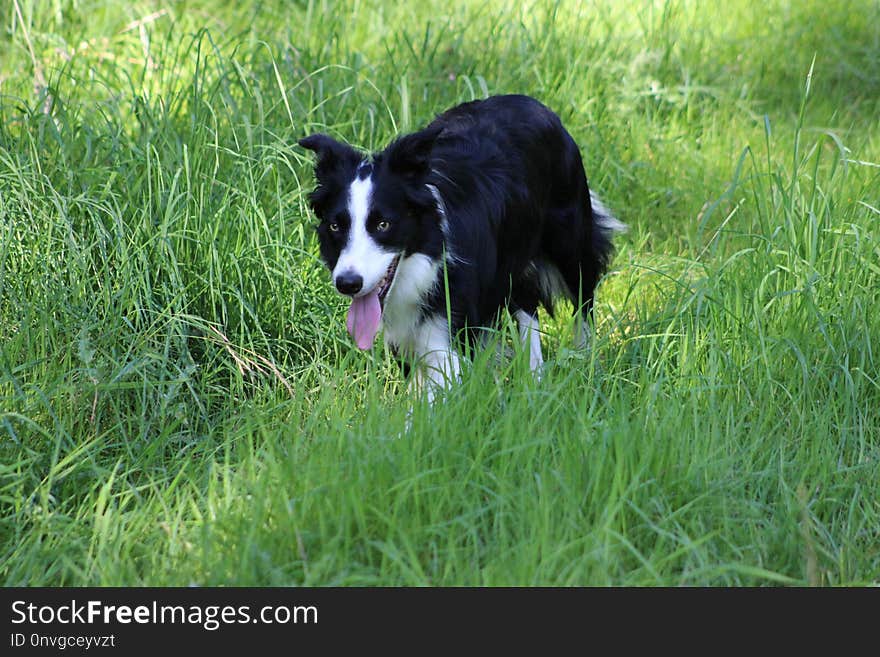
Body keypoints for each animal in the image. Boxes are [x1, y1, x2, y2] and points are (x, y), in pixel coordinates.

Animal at [300, 94, 624, 398]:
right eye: (335, 226)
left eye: (383, 224)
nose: (348, 283)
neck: (425, 264)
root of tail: (532, 102)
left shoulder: (450, 330)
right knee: (527, 304)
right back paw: (535, 381)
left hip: (569, 240)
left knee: (584, 299)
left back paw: (585, 364)